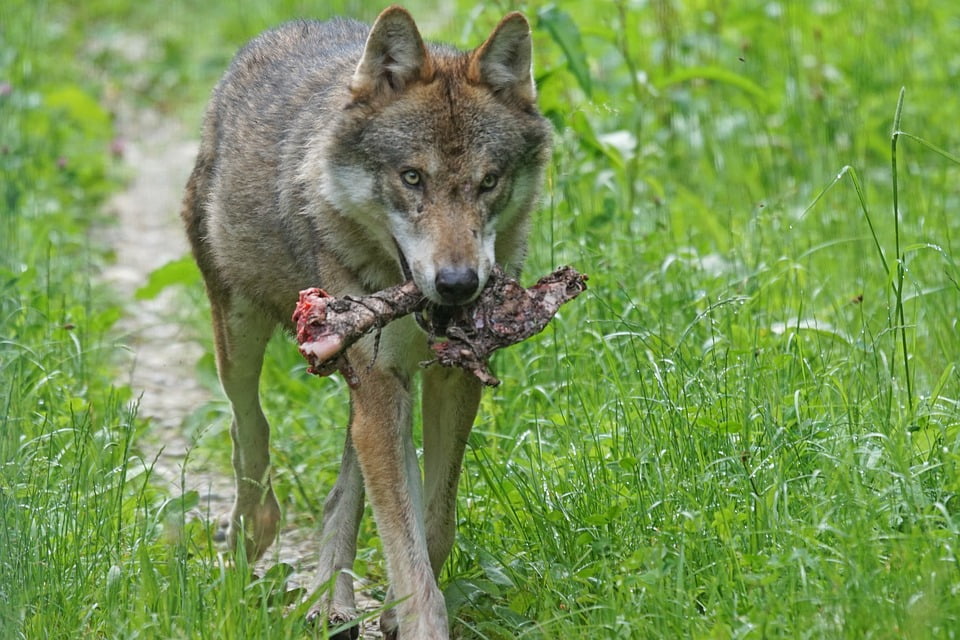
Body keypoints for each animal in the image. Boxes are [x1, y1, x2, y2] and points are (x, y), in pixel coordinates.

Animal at [181, 5, 551, 638]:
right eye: (412, 178)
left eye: (488, 182)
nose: (458, 284)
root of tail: (295, 27)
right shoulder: (381, 382)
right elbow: (405, 542)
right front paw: (420, 620)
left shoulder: (448, 379)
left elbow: (432, 524)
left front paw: (398, 613)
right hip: (242, 331)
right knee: (247, 425)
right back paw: (252, 534)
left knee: (341, 491)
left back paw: (333, 602)